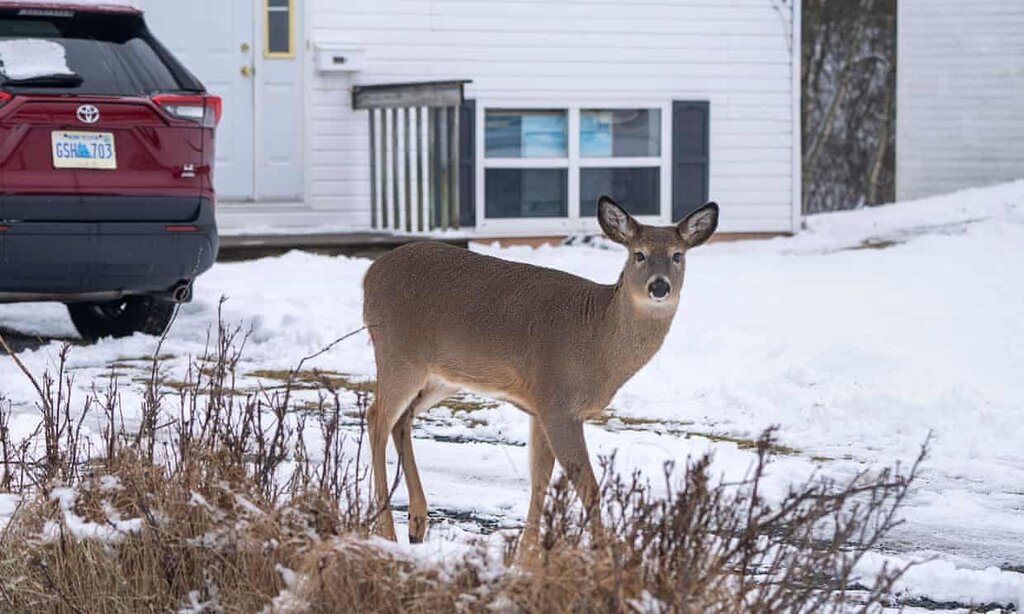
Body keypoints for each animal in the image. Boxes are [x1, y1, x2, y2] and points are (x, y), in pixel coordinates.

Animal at [362, 195, 719, 554]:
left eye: (677, 255)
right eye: (639, 254)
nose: (659, 286)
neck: (597, 339)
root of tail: (369, 275)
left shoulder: (540, 406)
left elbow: (540, 479)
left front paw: (526, 554)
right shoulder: (558, 402)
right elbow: (588, 486)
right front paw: (603, 554)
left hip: (441, 377)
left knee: (402, 419)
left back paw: (417, 523)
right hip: (398, 354)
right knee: (377, 418)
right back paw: (387, 531)